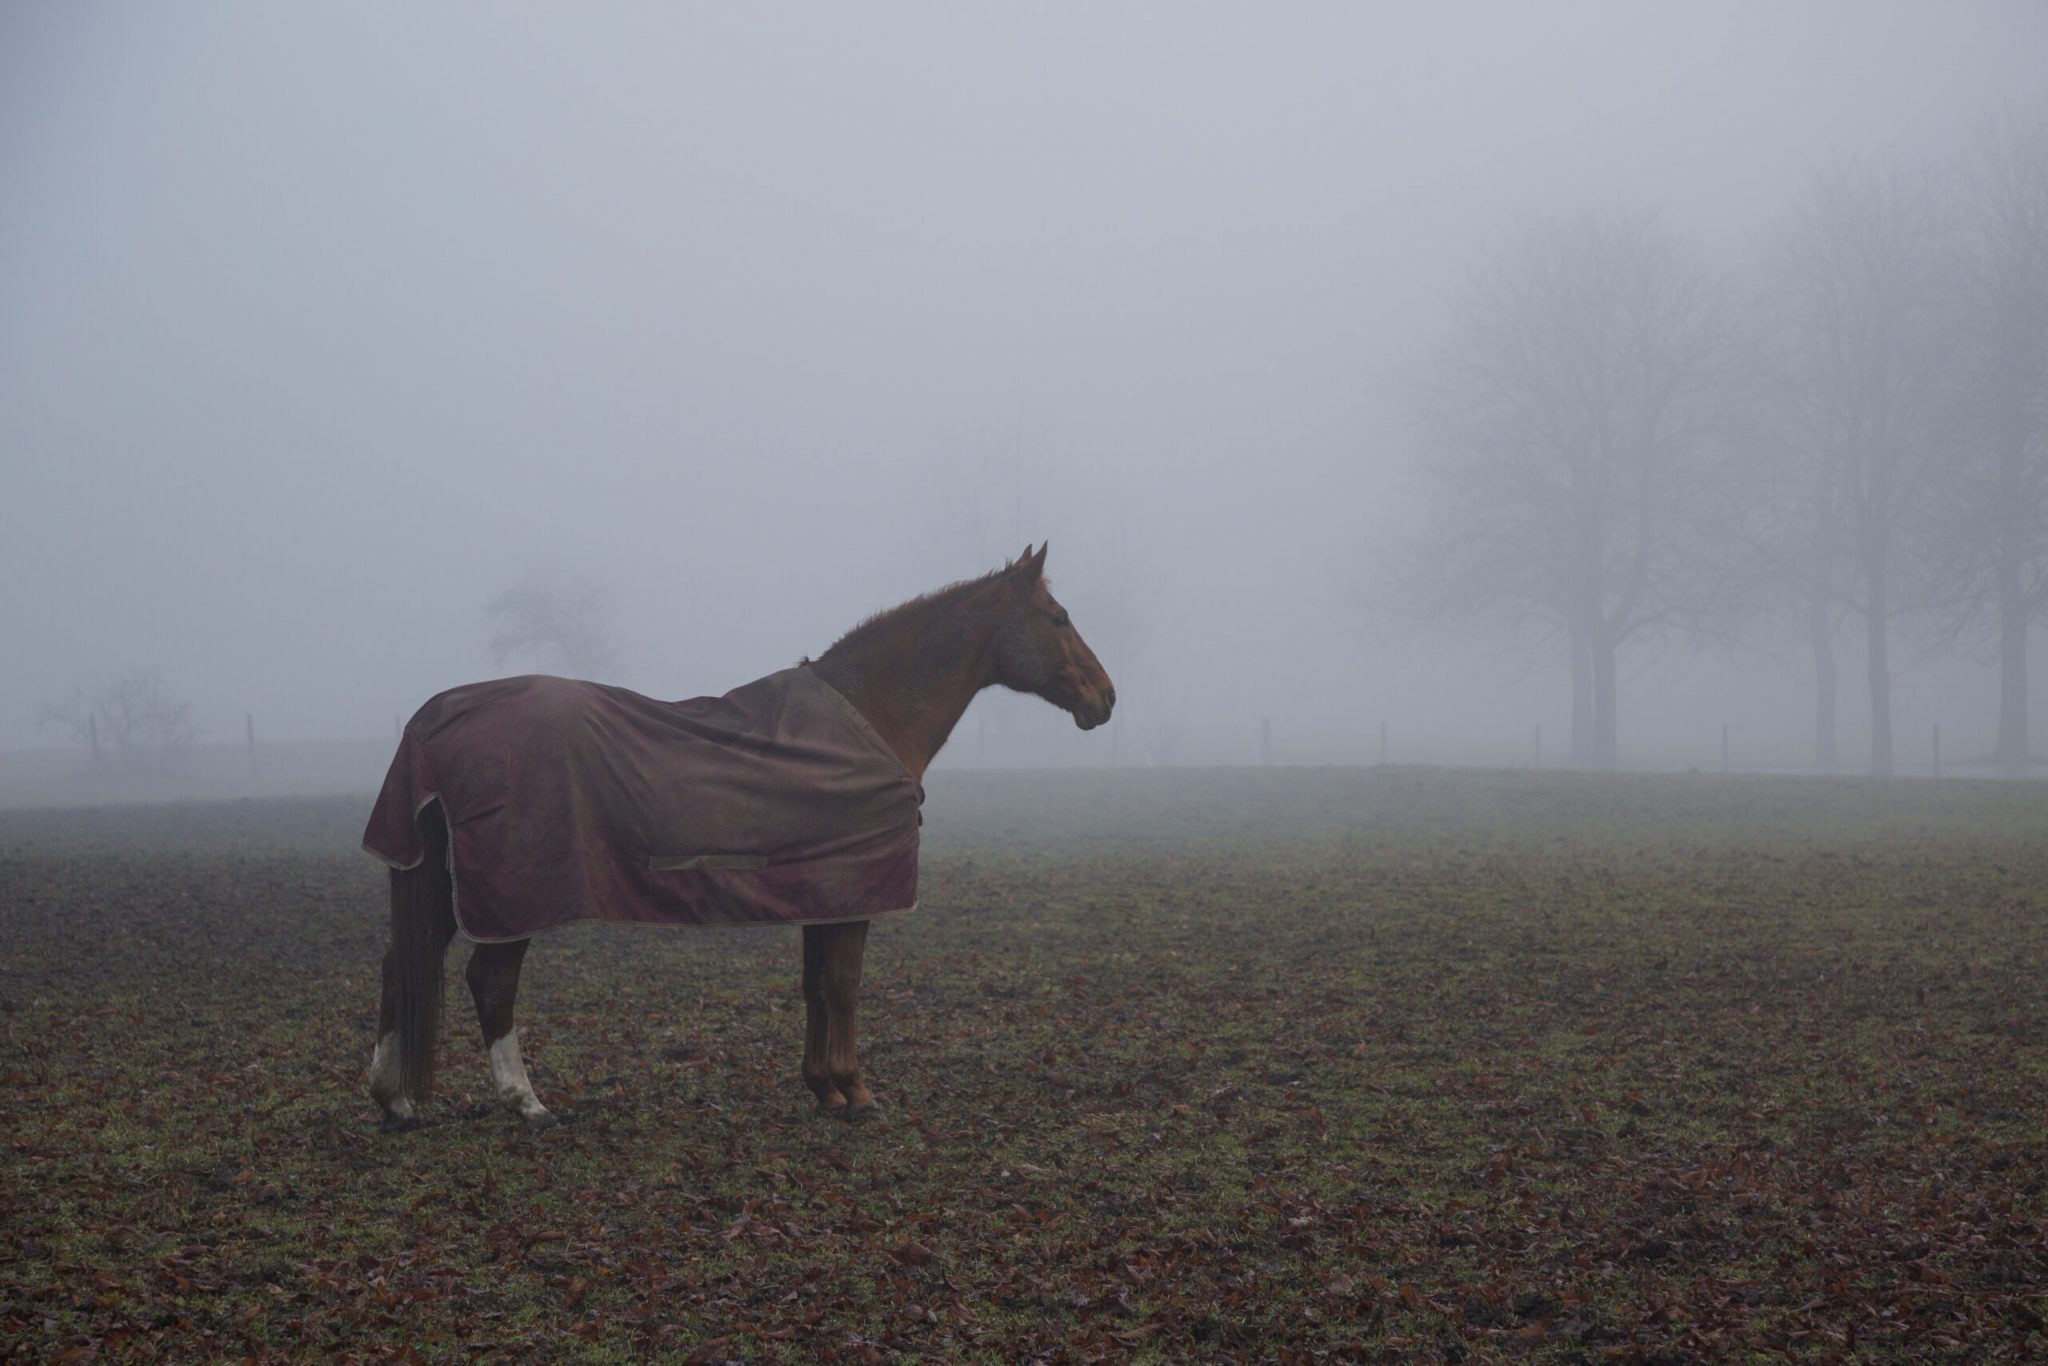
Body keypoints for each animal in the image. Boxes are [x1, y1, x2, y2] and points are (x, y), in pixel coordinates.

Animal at [360, 544, 1114, 1130]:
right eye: (1059, 618)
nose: (1105, 698)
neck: (866, 716)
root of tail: (437, 720)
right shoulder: (854, 890)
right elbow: (843, 985)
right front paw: (857, 1091)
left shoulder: (823, 892)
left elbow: (816, 985)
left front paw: (824, 1088)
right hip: (514, 894)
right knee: (490, 983)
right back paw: (526, 1102)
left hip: (453, 888)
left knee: (402, 963)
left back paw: (395, 1099)